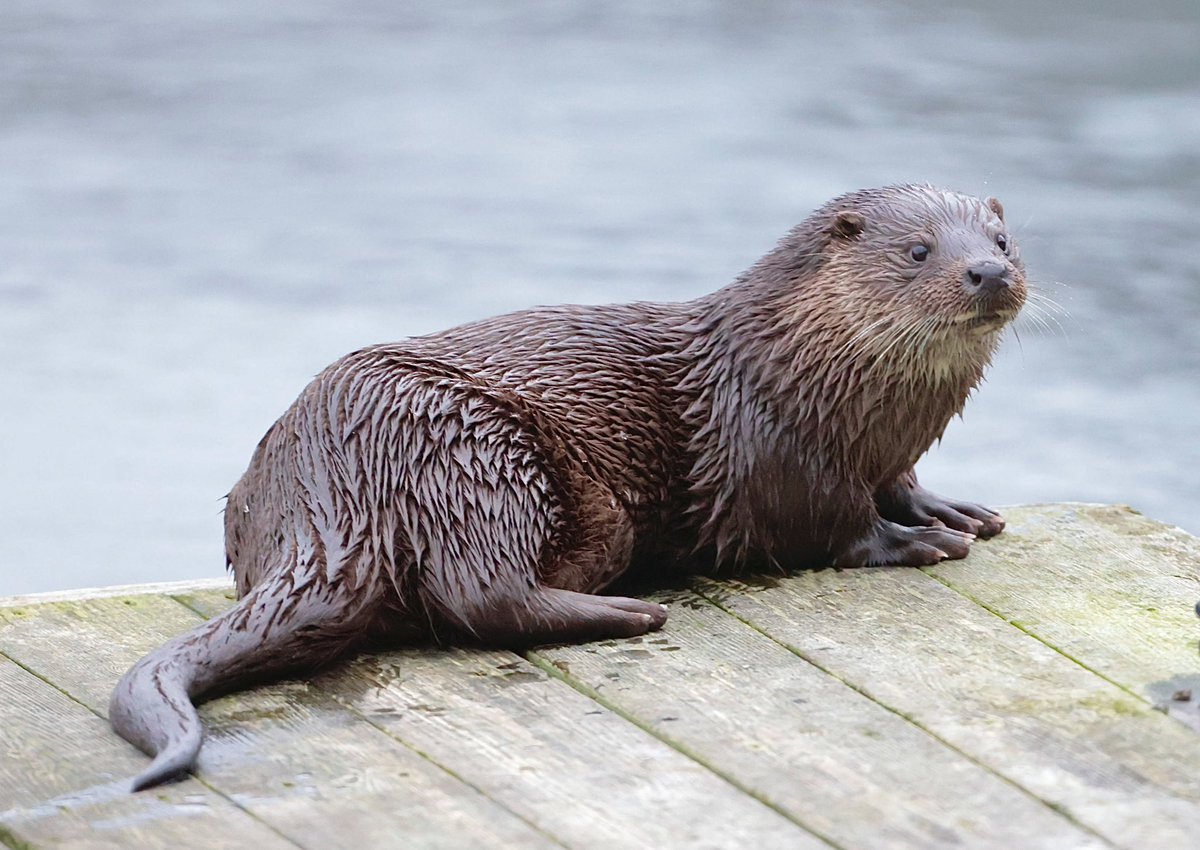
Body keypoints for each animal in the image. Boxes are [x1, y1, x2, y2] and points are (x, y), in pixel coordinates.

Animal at [109, 184, 1026, 790]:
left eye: (1003, 242)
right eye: (918, 252)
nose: (986, 273)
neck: (798, 374)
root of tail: (321, 491)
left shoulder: (879, 454)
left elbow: (897, 484)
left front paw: (946, 508)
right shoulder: (774, 455)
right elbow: (828, 528)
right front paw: (916, 542)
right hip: (477, 455)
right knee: (480, 595)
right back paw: (627, 611)